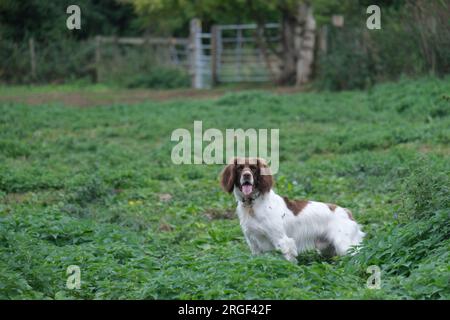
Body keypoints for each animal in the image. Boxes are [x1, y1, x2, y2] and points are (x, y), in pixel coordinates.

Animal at [221, 158, 366, 262]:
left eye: (253, 168)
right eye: (239, 168)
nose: (246, 176)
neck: (252, 204)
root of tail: (347, 212)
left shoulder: (283, 241)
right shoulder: (254, 244)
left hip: (345, 246)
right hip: (328, 249)